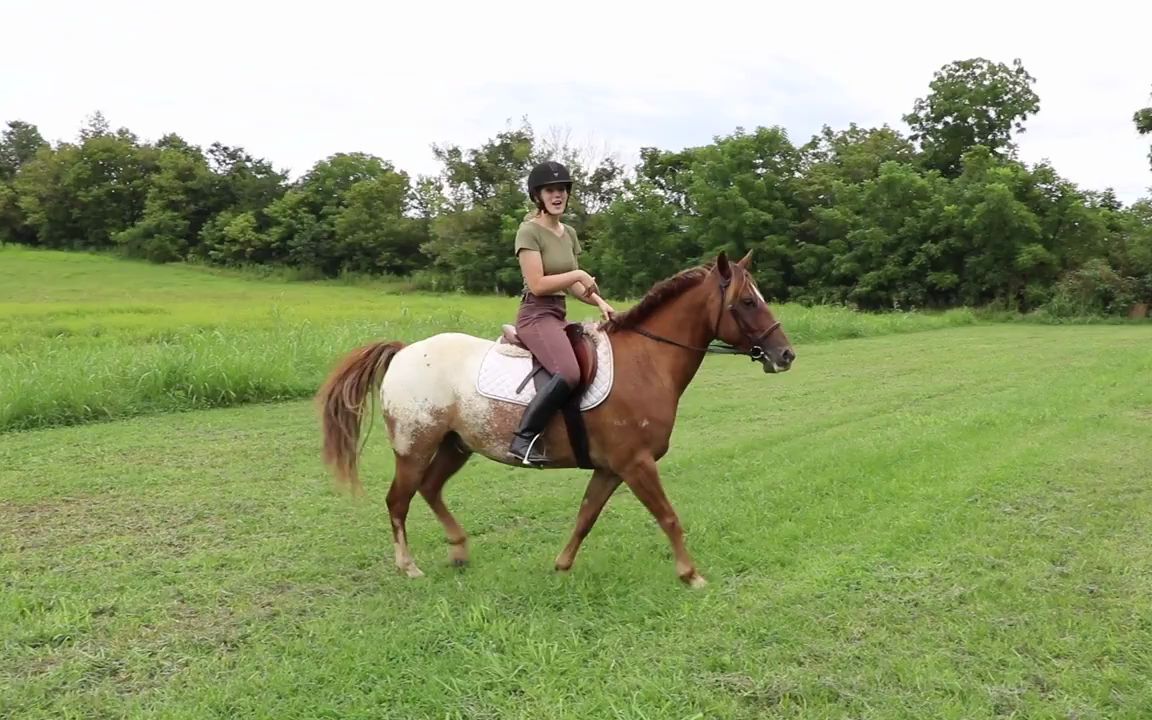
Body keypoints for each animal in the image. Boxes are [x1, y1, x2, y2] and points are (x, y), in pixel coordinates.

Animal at [317, 249, 801, 587]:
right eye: (747, 302)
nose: (785, 355)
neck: (647, 360)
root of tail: (404, 352)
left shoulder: (611, 468)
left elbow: (586, 516)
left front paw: (562, 565)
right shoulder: (637, 464)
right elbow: (667, 516)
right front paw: (691, 575)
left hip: (457, 445)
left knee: (431, 489)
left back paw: (459, 551)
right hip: (414, 447)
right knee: (398, 501)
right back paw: (410, 567)